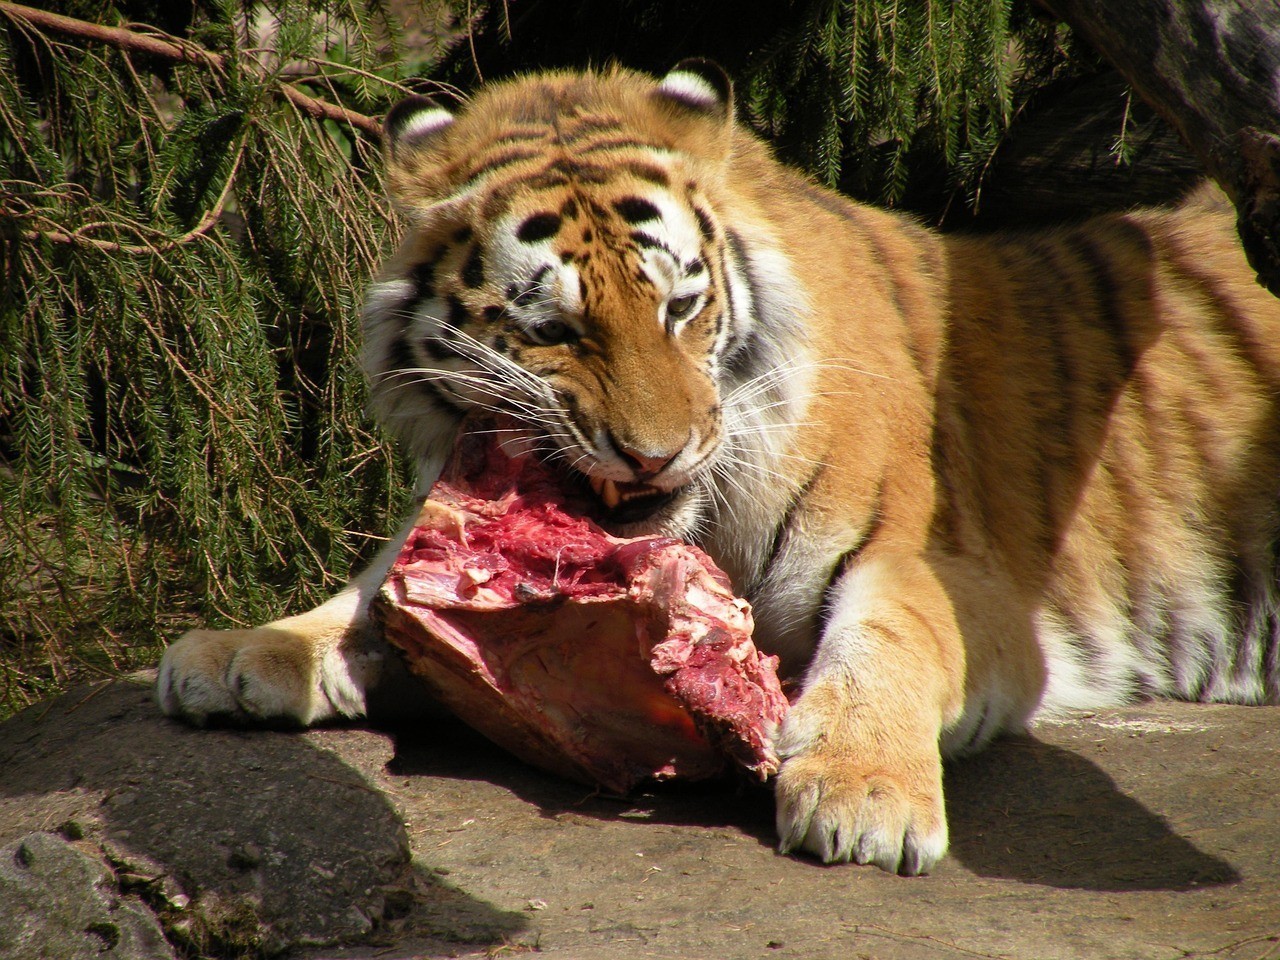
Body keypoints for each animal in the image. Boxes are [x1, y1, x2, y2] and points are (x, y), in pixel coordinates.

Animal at [157, 60, 1280, 875]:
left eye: (680, 308)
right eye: (556, 329)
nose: (653, 451)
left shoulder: (942, 571)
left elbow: (888, 643)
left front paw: (862, 794)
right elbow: (367, 600)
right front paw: (242, 652)